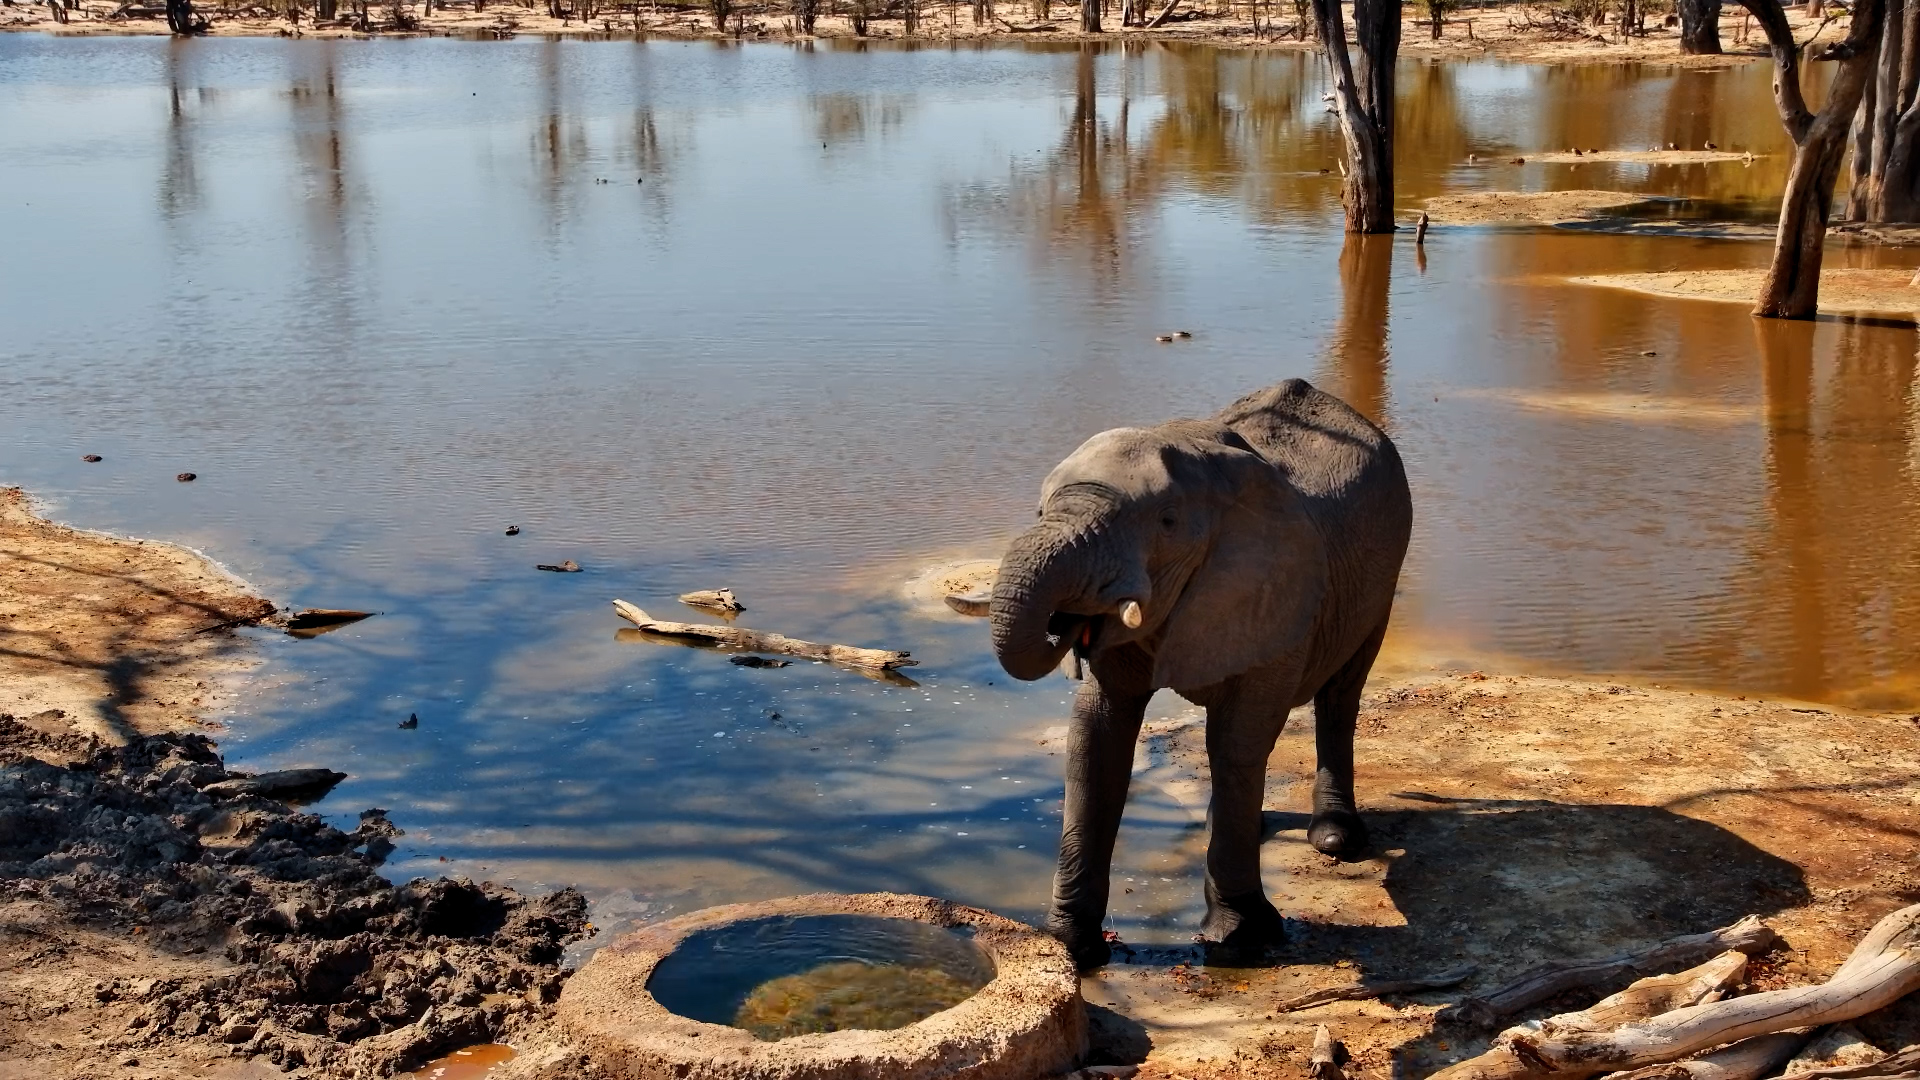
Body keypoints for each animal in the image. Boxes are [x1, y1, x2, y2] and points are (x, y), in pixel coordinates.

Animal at [988, 379, 1412, 971]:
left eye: (1166, 522)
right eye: (1039, 509)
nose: (1065, 624)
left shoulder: (1273, 587)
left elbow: (1237, 740)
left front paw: (1242, 940)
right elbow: (1096, 735)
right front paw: (1070, 946)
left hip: (1382, 575)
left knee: (1341, 694)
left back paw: (1334, 839)